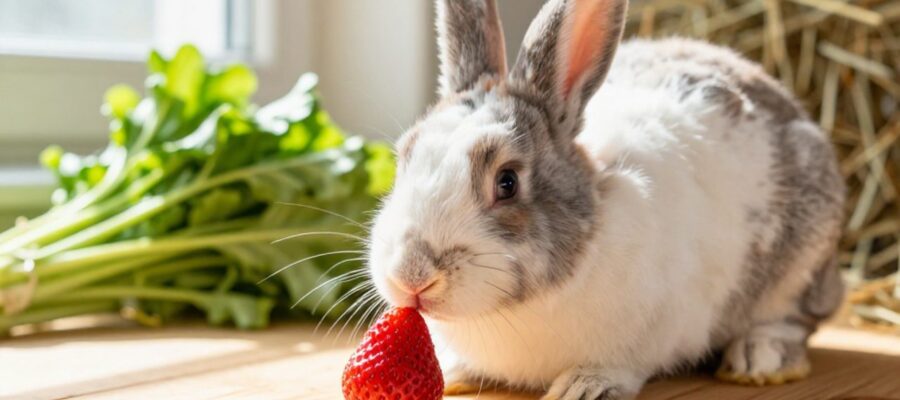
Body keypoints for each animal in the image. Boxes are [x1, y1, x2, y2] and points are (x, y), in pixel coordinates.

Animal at [366, 0, 846, 398]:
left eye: (507, 182)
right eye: (404, 158)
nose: (411, 275)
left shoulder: (658, 327)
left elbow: (624, 365)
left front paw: (583, 388)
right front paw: (454, 371)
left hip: (803, 259)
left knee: (794, 318)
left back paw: (758, 359)